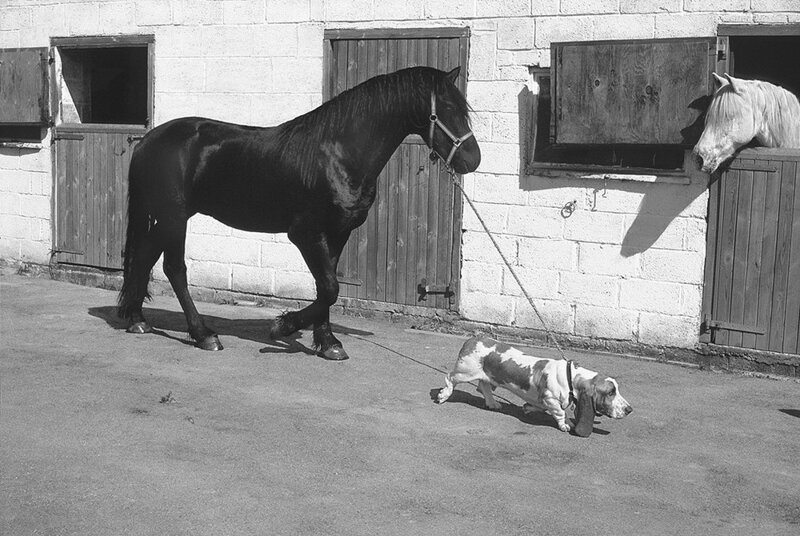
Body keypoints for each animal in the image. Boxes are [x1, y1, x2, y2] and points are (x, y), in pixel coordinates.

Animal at [117, 67, 482, 360]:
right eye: (446, 109)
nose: (472, 159)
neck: (338, 153)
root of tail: (150, 139)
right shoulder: (306, 234)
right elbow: (330, 288)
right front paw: (284, 325)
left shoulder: (338, 232)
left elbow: (326, 287)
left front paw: (328, 342)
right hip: (175, 216)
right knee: (174, 268)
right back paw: (204, 334)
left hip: (168, 217)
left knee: (146, 255)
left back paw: (137, 319)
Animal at [438, 338, 632, 438]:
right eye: (610, 392)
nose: (629, 410)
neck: (571, 378)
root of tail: (474, 338)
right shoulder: (550, 398)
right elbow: (560, 412)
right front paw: (565, 425)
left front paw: (528, 408)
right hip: (465, 372)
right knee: (449, 377)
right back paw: (443, 395)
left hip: (484, 376)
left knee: (483, 386)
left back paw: (492, 404)